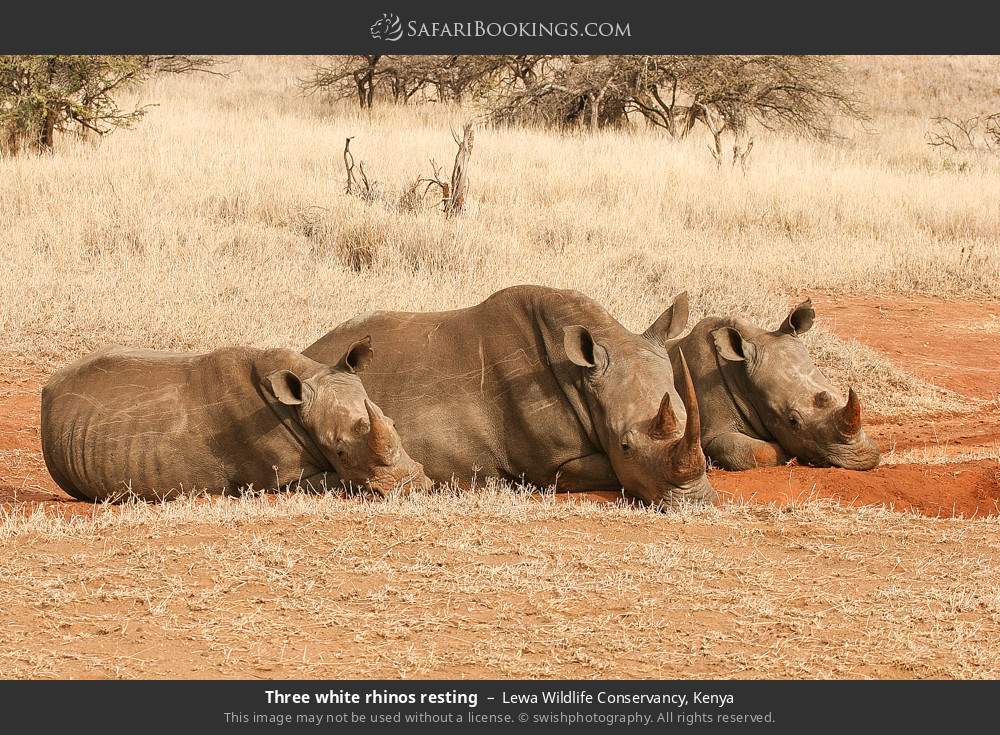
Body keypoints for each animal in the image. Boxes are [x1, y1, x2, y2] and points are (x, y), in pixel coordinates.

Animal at [40, 342, 430, 504]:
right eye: (340, 451)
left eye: (393, 423)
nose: (412, 487)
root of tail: (48, 386)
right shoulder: (278, 478)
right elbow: (338, 482)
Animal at [668, 300, 880, 472]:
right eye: (792, 421)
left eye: (839, 393)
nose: (862, 459)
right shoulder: (711, 433)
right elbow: (757, 451)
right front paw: (785, 453)